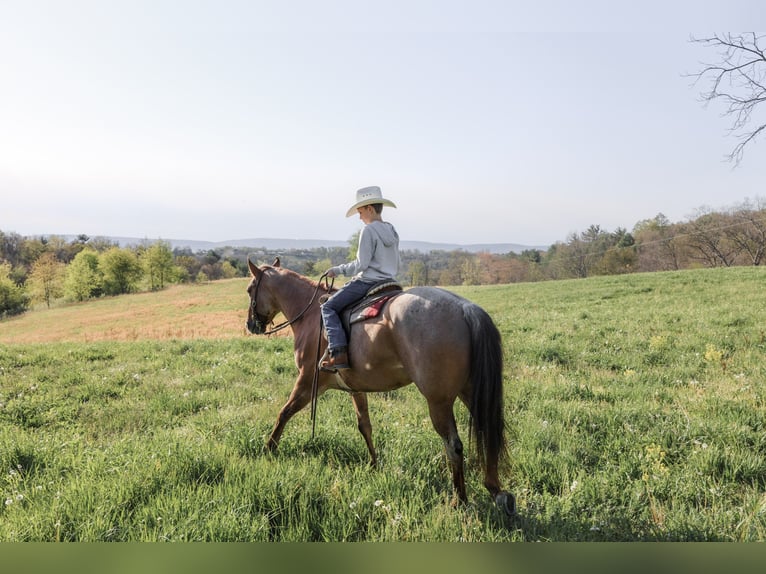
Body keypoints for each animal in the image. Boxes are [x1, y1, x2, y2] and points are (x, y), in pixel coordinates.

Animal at [245, 257, 515, 515]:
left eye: (249, 289)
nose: (251, 325)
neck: (311, 316)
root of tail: (465, 309)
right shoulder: (356, 388)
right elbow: (365, 425)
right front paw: (374, 465)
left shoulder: (307, 381)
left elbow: (284, 412)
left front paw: (268, 449)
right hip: (471, 393)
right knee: (488, 432)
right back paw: (496, 490)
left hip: (438, 401)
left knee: (454, 445)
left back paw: (459, 500)